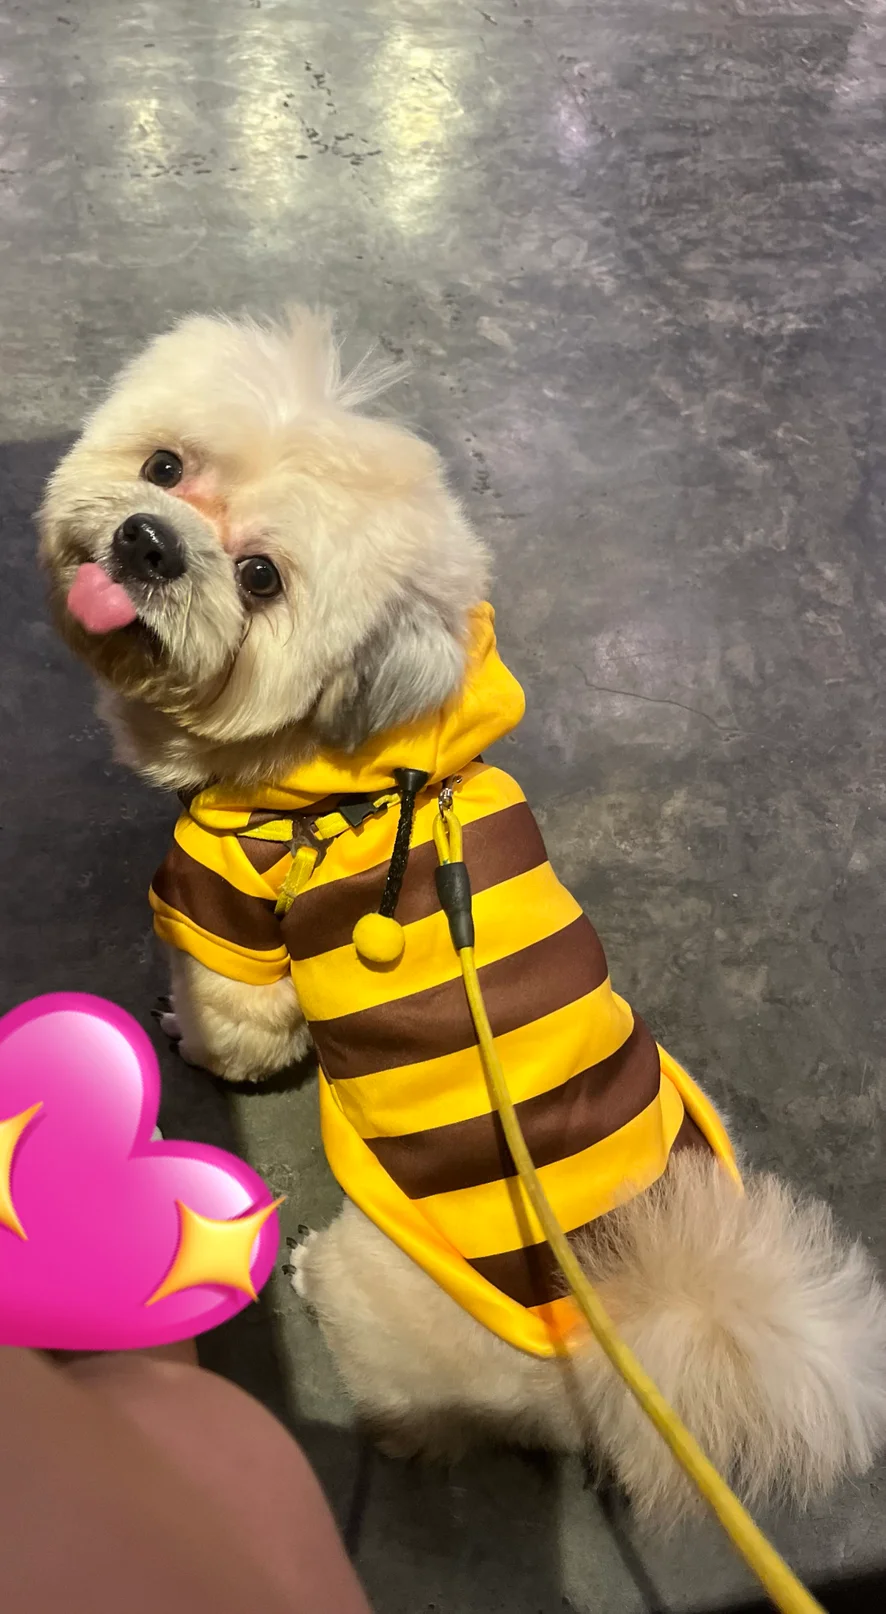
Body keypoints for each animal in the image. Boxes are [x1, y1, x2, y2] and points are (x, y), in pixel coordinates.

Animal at [39, 307, 886, 1521]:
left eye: (261, 579)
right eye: (164, 467)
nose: (152, 543)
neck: (368, 753)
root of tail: (634, 1341)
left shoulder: (226, 921)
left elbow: (231, 1026)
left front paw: (187, 1041)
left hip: (385, 1285)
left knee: (409, 1409)